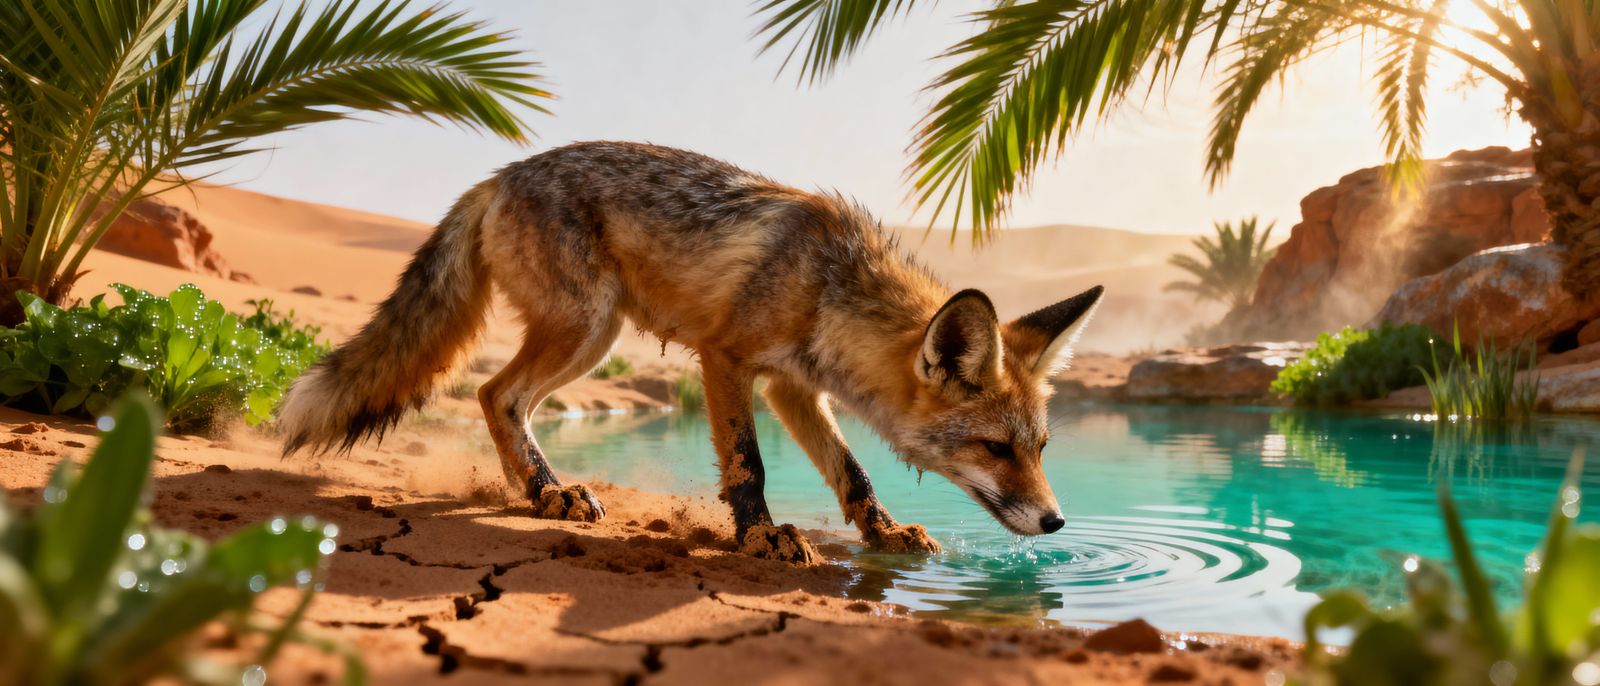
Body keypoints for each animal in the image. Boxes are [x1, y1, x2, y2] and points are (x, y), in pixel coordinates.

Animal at [278, 141, 1103, 563]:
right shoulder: (727, 359)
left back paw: (539, 489)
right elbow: (747, 463)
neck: (828, 284)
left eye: (1040, 448)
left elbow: (854, 473)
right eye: (996, 449)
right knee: (493, 393)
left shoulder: (796, 388)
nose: (1057, 524)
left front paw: (883, 533)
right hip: (588, 327)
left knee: (500, 397)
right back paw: (547, 492)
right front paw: (763, 536)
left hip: (591, 335)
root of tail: (499, 174)